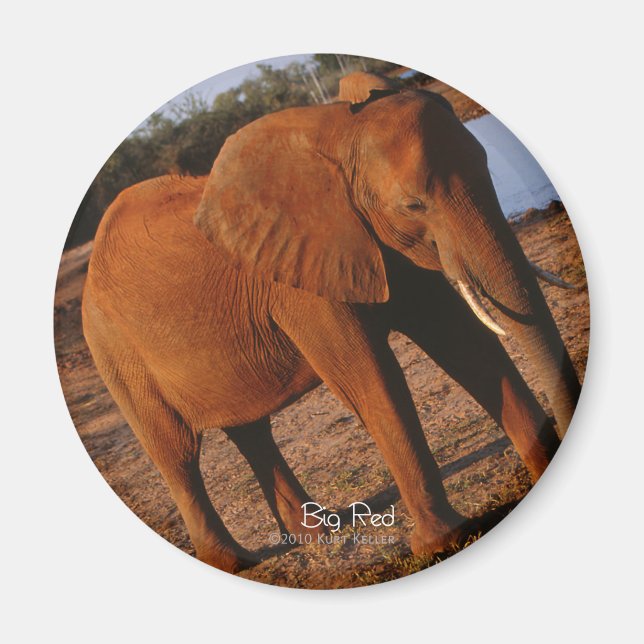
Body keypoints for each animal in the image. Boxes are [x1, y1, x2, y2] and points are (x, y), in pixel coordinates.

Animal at [82, 83, 581, 574]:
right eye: (413, 204)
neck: (342, 133)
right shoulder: (297, 279)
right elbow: (369, 378)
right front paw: (442, 541)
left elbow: (459, 339)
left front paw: (538, 467)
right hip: (114, 352)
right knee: (177, 452)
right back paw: (233, 561)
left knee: (252, 430)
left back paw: (315, 531)